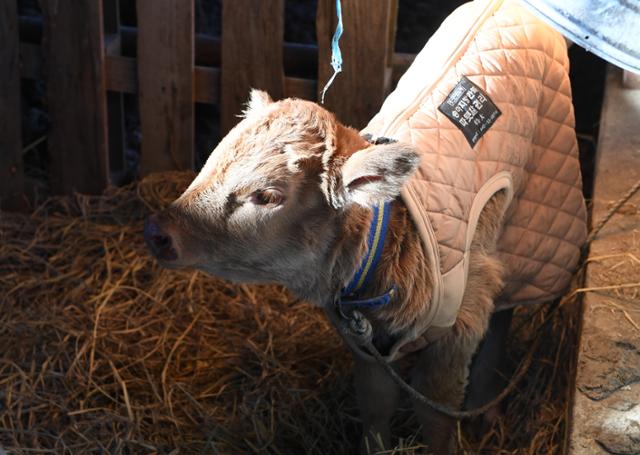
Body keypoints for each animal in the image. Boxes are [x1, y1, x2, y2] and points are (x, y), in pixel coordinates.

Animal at [144, 91, 510, 452]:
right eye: (212, 161)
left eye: (267, 196)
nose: (158, 233)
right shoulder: (364, 343)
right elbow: (376, 403)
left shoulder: (457, 333)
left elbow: (437, 417)